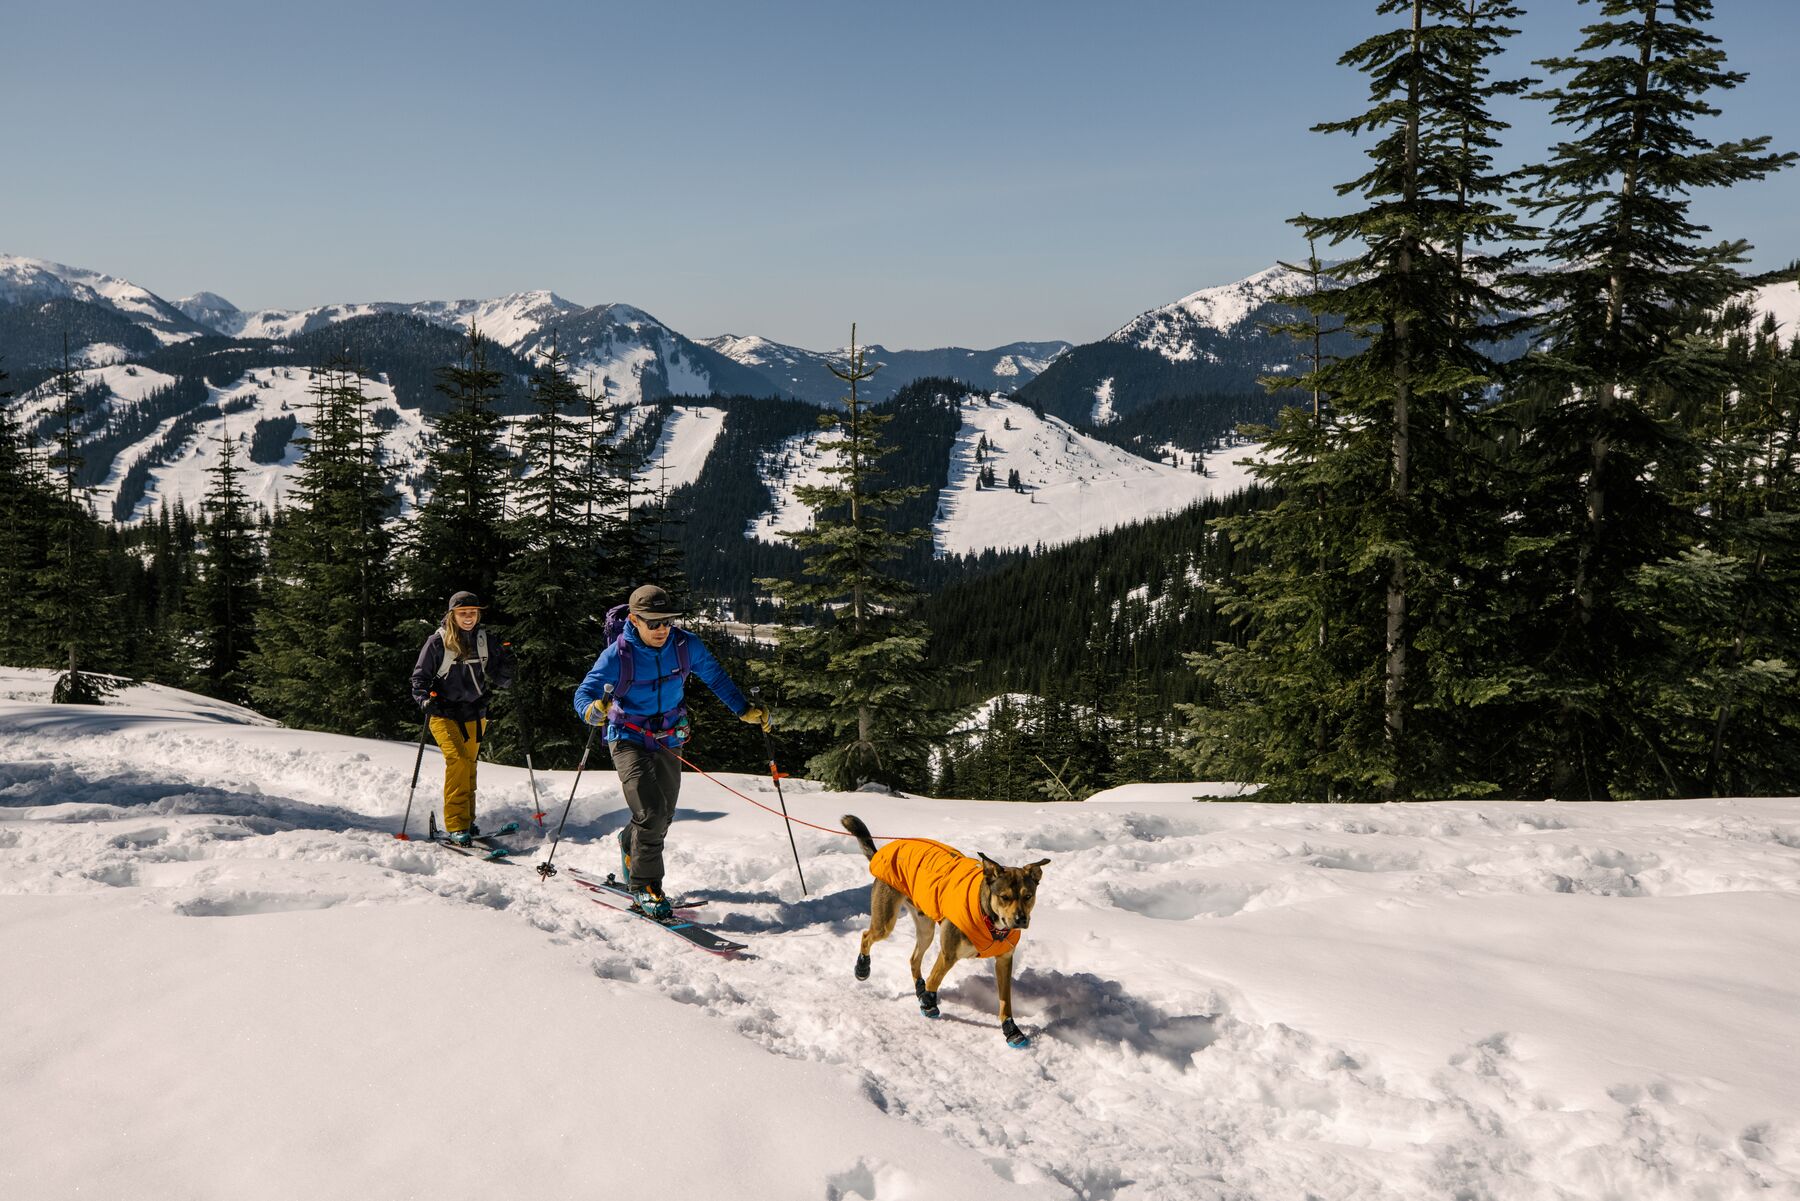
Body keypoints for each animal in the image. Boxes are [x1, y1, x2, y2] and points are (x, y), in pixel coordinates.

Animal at [846, 817, 1051, 1051]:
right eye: (1004, 897)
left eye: (1028, 896)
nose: (1020, 920)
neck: (990, 922)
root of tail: (882, 851)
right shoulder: (949, 954)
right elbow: (935, 979)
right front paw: (928, 1004)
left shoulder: (1004, 960)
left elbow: (1005, 1000)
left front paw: (1011, 1030)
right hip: (886, 921)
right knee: (867, 936)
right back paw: (863, 968)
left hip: (925, 927)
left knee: (914, 958)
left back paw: (919, 987)